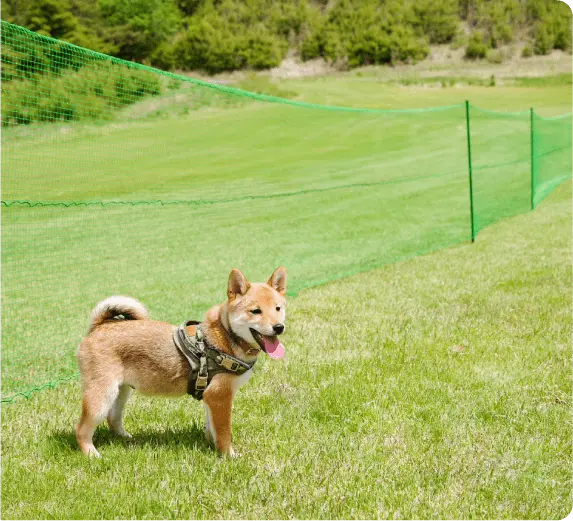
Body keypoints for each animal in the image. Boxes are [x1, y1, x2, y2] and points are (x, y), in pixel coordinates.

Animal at [77, 266, 286, 458]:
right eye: (256, 311)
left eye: (278, 308)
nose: (279, 327)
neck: (227, 336)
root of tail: (99, 327)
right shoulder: (220, 396)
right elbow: (224, 433)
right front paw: (228, 456)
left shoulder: (210, 396)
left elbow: (212, 428)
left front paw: (211, 445)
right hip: (102, 395)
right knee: (81, 429)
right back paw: (91, 454)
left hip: (122, 391)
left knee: (113, 418)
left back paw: (125, 438)